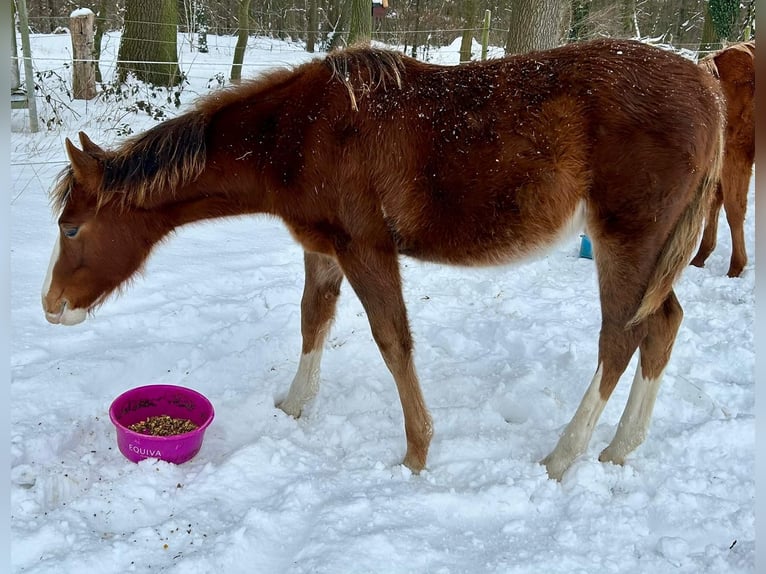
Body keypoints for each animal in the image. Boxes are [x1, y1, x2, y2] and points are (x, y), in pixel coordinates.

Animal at [42, 39, 724, 481]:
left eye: (72, 227)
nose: (51, 307)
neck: (299, 133)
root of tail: (706, 85)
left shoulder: (365, 249)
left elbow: (393, 340)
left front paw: (417, 453)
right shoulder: (324, 248)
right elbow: (313, 319)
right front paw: (294, 407)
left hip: (627, 242)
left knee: (620, 337)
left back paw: (563, 457)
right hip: (650, 253)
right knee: (661, 326)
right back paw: (620, 449)